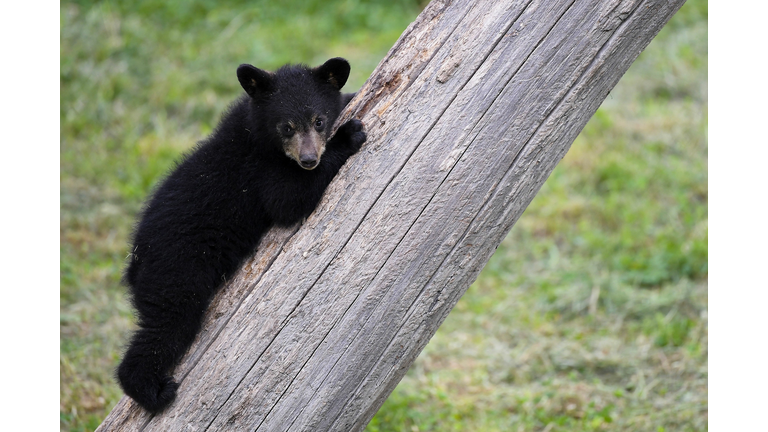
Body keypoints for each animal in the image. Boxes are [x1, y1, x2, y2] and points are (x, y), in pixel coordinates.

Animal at [116, 57, 366, 414]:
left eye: (318, 121)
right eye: (287, 127)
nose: (308, 159)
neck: (257, 135)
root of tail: (135, 262)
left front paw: (349, 96)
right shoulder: (259, 174)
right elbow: (288, 200)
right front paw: (348, 135)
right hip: (176, 276)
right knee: (166, 327)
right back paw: (153, 392)